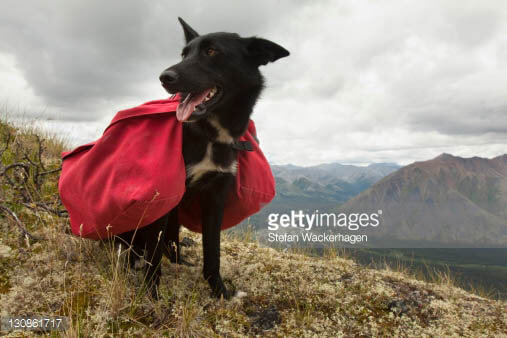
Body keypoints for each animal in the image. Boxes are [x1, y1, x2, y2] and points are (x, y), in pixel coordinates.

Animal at [117, 17, 288, 298]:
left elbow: (213, 250)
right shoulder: (166, 194)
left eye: (211, 51)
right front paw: (151, 293)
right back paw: (134, 260)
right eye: (184, 54)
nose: (165, 77)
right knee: (134, 243)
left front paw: (220, 291)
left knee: (170, 243)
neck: (210, 134)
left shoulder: (216, 195)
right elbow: (154, 254)